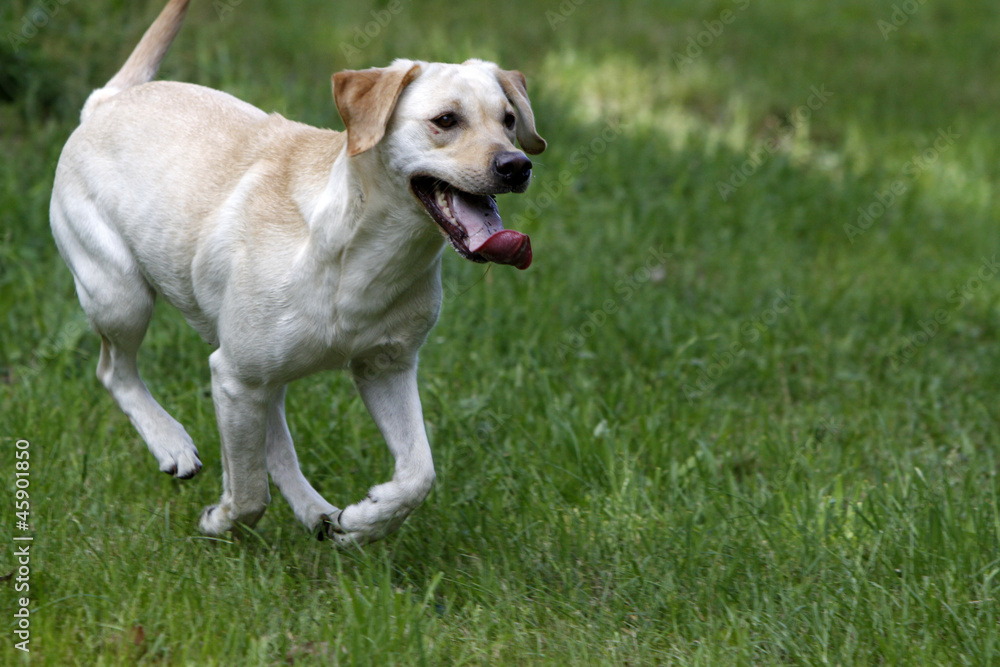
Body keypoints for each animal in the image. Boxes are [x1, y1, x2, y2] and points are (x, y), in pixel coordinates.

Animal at [49, 0, 544, 548]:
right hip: (121, 295)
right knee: (115, 371)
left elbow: (418, 474)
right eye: (446, 120)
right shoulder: (234, 377)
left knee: (276, 441)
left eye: (509, 119)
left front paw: (366, 520)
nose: (517, 165)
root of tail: (107, 100)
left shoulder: (384, 368)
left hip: (256, 368)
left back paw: (319, 514)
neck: (364, 255)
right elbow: (249, 492)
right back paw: (171, 442)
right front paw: (221, 520)